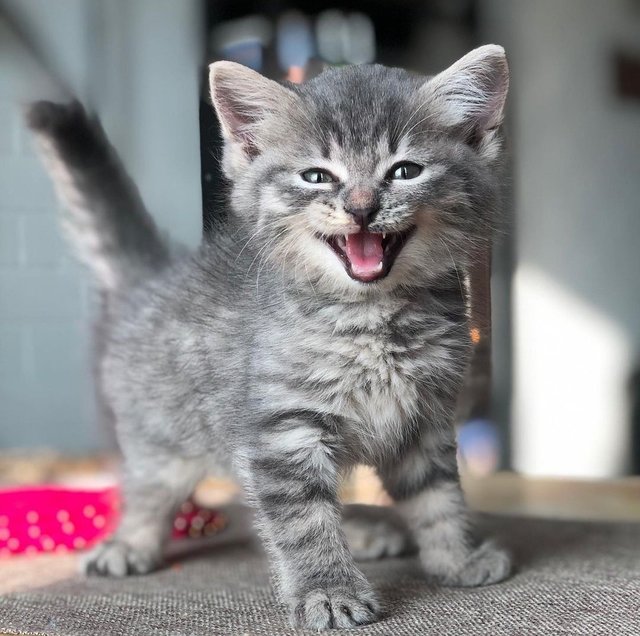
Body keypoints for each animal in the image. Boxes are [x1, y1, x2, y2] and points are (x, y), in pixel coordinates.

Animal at [27, 46, 510, 632]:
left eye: (405, 170)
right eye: (317, 176)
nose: (362, 207)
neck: (372, 319)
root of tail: (155, 277)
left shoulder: (426, 419)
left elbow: (438, 497)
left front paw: (456, 559)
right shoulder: (279, 429)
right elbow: (303, 521)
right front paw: (328, 590)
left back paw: (364, 531)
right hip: (161, 431)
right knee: (148, 487)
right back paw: (128, 543)